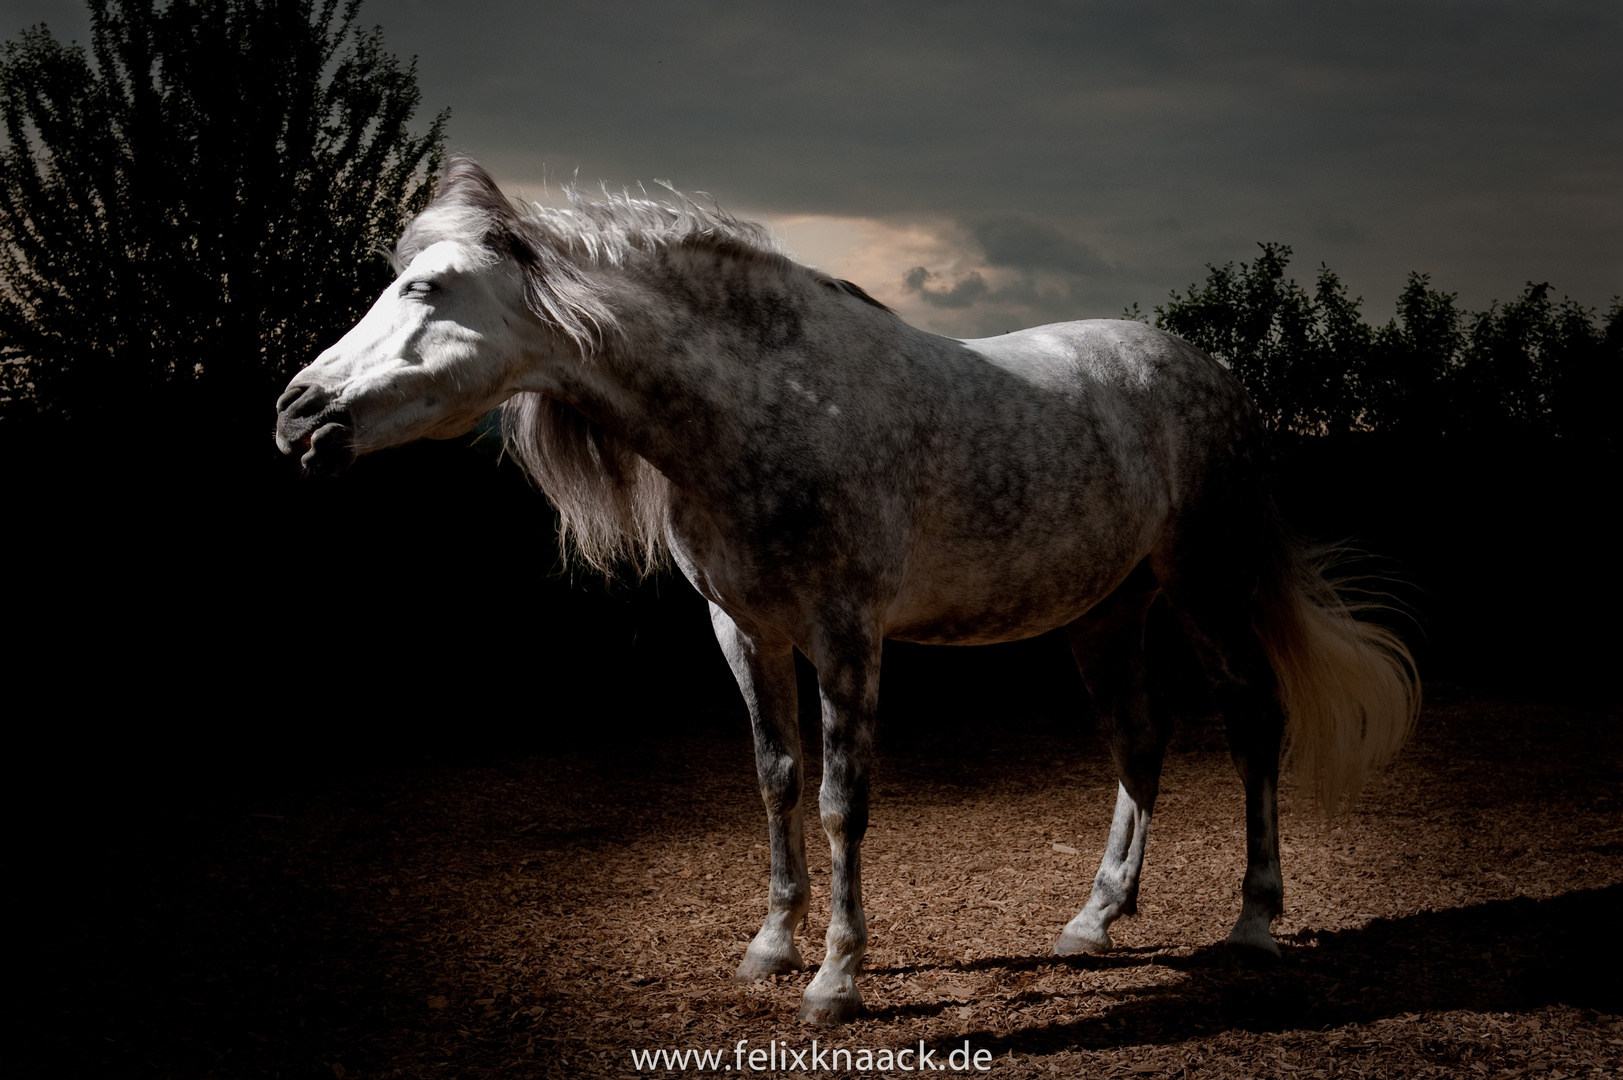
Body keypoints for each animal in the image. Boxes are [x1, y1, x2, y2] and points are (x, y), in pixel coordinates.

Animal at [279, 155, 1421, 1026]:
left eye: (426, 291)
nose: (296, 412)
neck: (763, 405)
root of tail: (1212, 377)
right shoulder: (743, 631)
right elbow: (777, 781)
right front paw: (771, 947)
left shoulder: (846, 635)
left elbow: (840, 800)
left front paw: (835, 980)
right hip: (1107, 613)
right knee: (1139, 745)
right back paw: (1094, 921)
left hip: (1206, 587)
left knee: (1253, 724)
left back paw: (1256, 920)